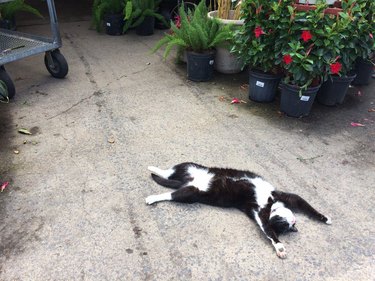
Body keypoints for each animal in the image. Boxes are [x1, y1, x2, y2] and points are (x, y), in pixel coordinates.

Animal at [145, 161, 332, 258]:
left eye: (288, 227)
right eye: (283, 223)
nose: (292, 221)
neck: (272, 203)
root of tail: (187, 181)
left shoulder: (260, 213)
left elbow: (267, 228)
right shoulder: (287, 199)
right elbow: (306, 206)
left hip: (191, 193)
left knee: (171, 192)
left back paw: (152, 195)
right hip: (191, 166)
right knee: (168, 173)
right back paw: (152, 172)